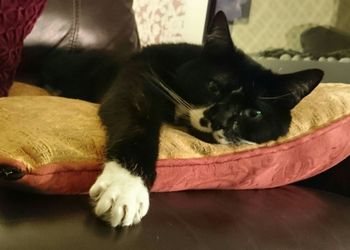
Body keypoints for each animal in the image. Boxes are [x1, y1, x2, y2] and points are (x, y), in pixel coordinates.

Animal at [36, 11, 322, 227]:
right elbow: (137, 120)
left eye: (254, 113)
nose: (219, 120)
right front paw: (126, 187)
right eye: (213, 86)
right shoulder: (139, 78)